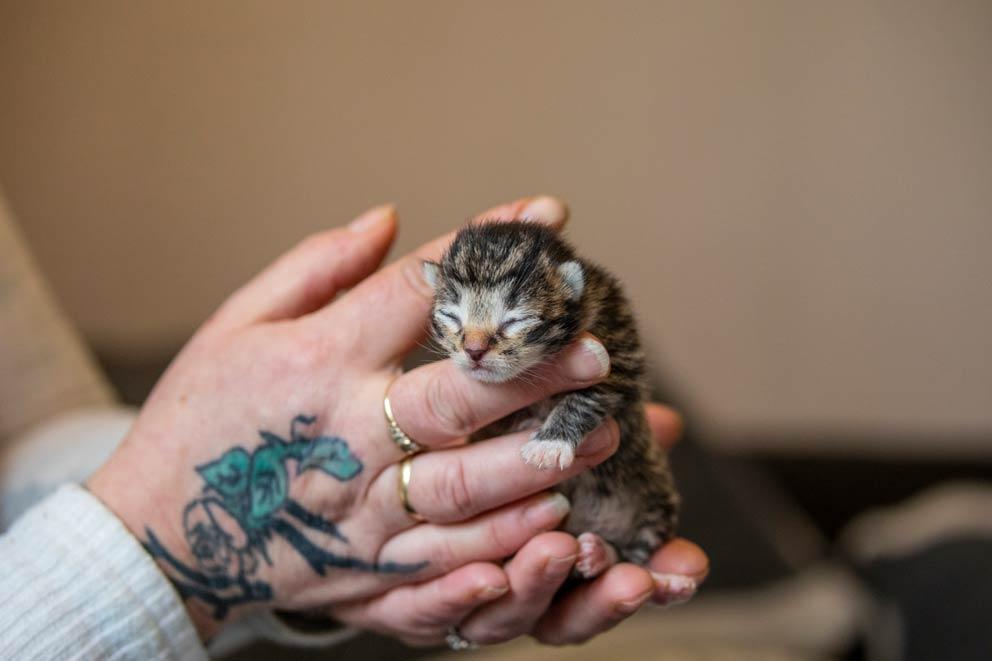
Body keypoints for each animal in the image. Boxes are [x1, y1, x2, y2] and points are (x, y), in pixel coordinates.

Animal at [422, 219, 680, 576]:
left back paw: (619, 560)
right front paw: (521, 422)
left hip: (652, 493)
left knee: (635, 552)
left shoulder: (619, 351)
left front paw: (550, 443)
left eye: (514, 319)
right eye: (451, 317)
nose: (474, 350)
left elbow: (590, 394)